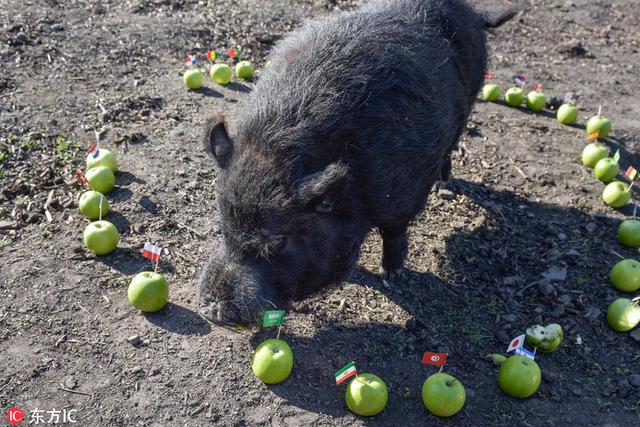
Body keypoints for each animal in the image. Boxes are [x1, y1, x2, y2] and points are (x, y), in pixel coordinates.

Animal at [199, 0, 520, 322]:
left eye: (278, 241)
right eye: (225, 227)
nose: (213, 309)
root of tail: (474, 14)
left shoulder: (403, 195)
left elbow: (395, 233)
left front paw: (392, 275)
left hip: (470, 98)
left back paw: (445, 181)